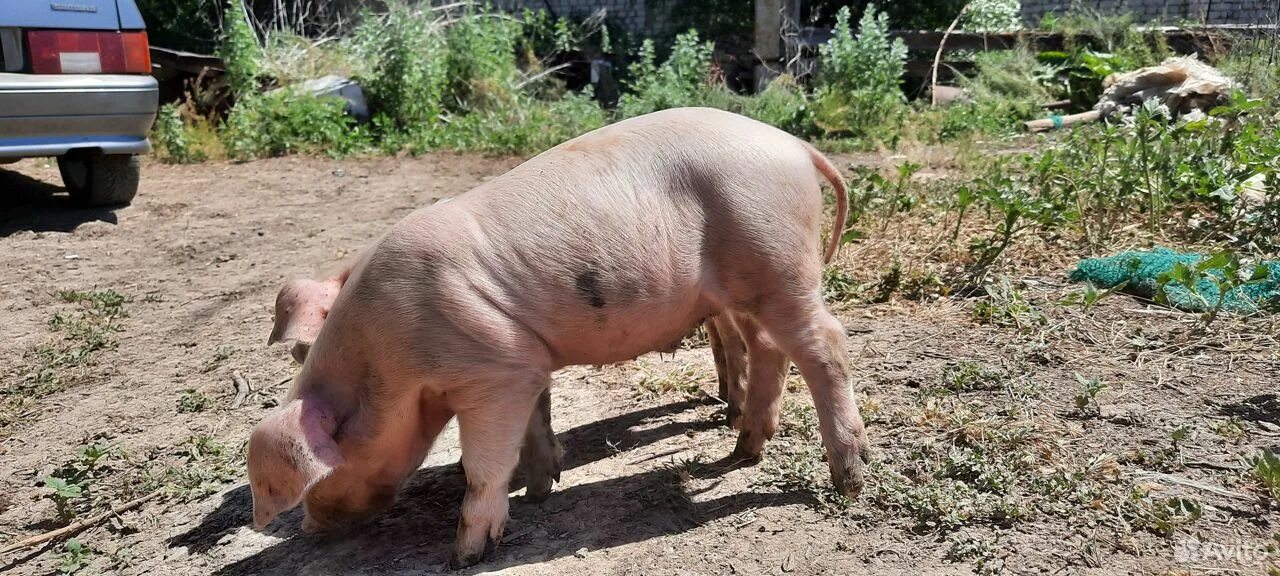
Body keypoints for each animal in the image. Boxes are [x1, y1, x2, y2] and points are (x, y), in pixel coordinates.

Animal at [247, 105, 870, 568]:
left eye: (326, 465)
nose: (312, 527)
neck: (388, 361)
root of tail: (795, 146)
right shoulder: (521, 360)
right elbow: (534, 424)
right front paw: (542, 487)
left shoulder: (490, 375)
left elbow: (484, 464)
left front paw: (464, 554)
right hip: (752, 287)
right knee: (769, 352)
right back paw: (741, 452)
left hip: (775, 259)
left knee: (827, 346)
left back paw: (847, 481)